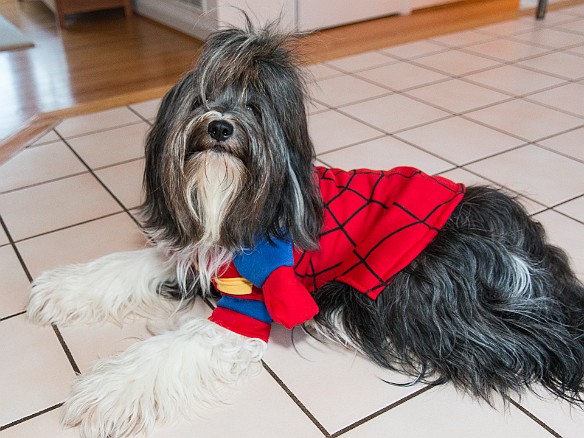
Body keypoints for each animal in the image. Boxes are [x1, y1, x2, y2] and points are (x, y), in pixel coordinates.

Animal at [26, 21, 584, 438]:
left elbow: (172, 349)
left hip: (423, 293)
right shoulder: (197, 251)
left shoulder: (248, 303)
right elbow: (127, 265)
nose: (220, 126)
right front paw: (60, 289)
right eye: (202, 99)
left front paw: (104, 390)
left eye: (254, 106)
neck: (232, 202)